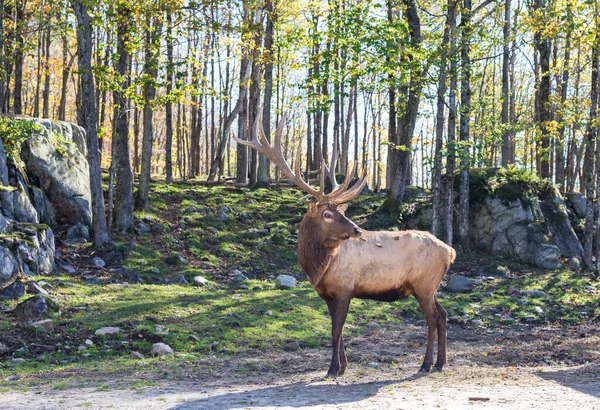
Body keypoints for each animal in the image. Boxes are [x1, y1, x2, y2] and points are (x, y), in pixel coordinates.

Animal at [233, 115, 454, 378]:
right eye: (328, 214)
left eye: (339, 212)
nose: (357, 230)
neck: (318, 269)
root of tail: (450, 252)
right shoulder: (327, 295)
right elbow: (336, 329)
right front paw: (343, 367)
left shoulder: (344, 288)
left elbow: (336, 330)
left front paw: (332, 369)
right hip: (429, 286)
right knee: (443, 315)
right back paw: (440, 363)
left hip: (424, 284)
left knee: (432, 319)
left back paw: (426, 364)